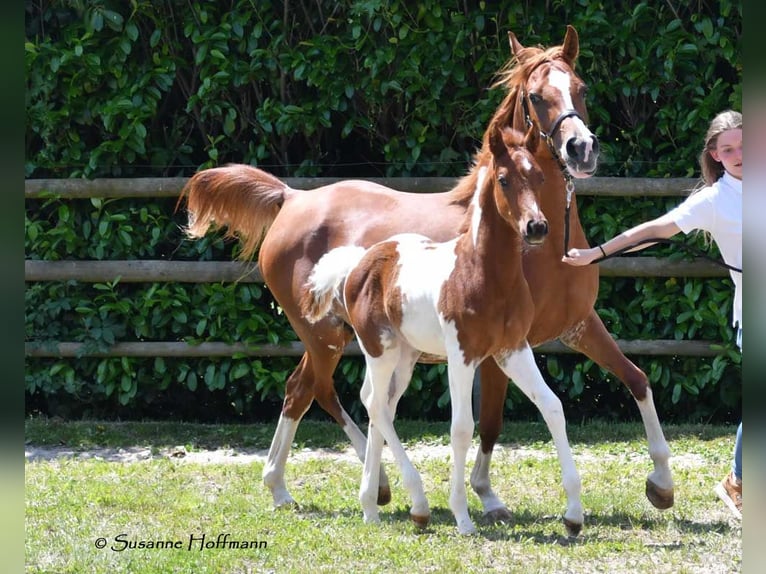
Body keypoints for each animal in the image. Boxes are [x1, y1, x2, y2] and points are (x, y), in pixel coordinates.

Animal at [300, 123, 583, 536]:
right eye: (503, 179)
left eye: (539, 177)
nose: (537, 227)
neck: (485, 274)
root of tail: (359, 262)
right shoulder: (462, 355)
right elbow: (462, 427)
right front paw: (463, 517)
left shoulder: (512, 350)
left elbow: (553, 406)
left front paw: (574, 514)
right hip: (379, 349)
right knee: (375, 404)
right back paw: (415, 504)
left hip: (406, 356)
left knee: (380, 404)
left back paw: (373, 506)